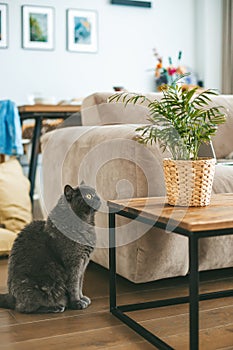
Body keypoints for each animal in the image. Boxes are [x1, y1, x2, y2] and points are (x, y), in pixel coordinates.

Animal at [0, 183, 101, 314]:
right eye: (88, 196)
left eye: (95, 192)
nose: (99, 198)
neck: (86, 223)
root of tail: (10, 296)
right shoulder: (74, 263)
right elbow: (74, 285)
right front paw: (77, 303)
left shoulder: (84, 263)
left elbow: (80, 283)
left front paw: (82, 298)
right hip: (34, 288)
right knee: (25, 308)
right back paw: (56, 307)